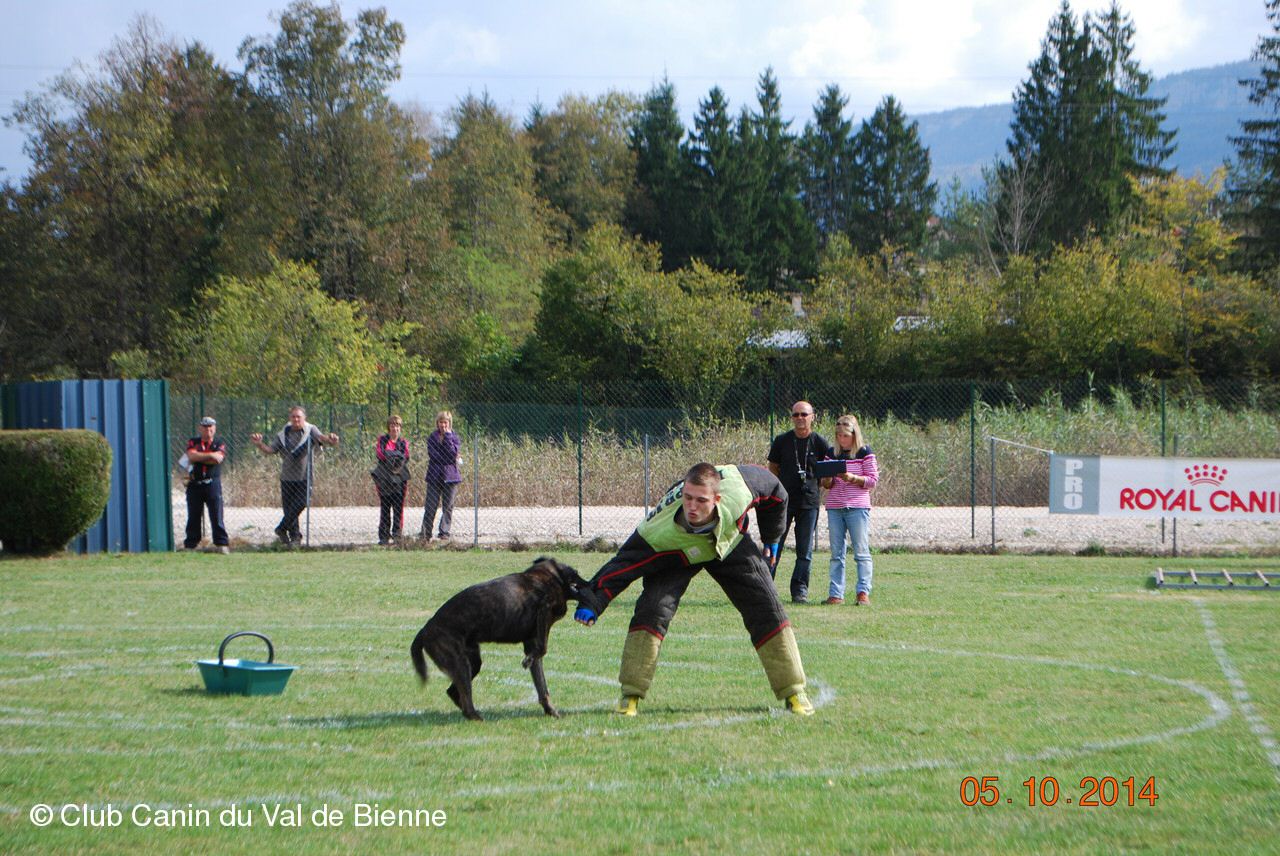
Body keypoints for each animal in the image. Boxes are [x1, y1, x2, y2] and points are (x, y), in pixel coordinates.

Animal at [407, 557, 596, 716]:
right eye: (576, 573)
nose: (591, 584)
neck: (546, 576)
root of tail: (424, 630)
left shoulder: (532, 642)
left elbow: (542, 686)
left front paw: (550, 710)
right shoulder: (544, 610)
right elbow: (542, 649)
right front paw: (528, 661)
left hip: (472, 663)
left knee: (453, 692)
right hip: (460, 664)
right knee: (464, 698)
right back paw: (475, 717)